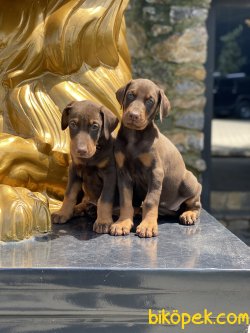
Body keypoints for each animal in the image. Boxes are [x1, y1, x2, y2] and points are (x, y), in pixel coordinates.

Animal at [51, 100, 118, 232]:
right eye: (73, 124)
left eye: (94, 126)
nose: (81, 151)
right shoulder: (74, 170)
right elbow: (69, 194)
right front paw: (63, 213)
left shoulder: (110, 173)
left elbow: (105, 199)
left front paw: (103, 222)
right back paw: (81, 208)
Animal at [110, 79, 202, 237]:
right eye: (130, 95)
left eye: (150, 101)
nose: (133, 115)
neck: (134, 137)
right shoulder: (123, 172)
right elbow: (126, 200)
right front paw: (123, 223)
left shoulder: (155, 172)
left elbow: (150, 200)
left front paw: (148, 225)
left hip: (188, 182)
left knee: (196, 200)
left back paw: (189, 214)